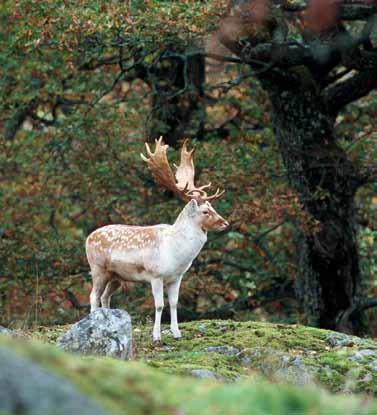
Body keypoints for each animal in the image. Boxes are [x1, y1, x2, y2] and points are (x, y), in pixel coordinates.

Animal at [86, 138, 226, 342]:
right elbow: (159, 305)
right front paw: (157, 336)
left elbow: (174, 303)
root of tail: (88, 237)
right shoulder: (155, 274)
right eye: (205, 211)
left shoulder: (177, 277)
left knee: (105, 296)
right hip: (97, 269)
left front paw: (176, 333)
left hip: (116, 276)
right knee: (93, 296)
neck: (175, 253)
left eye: (213, 207)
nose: (225, 223)